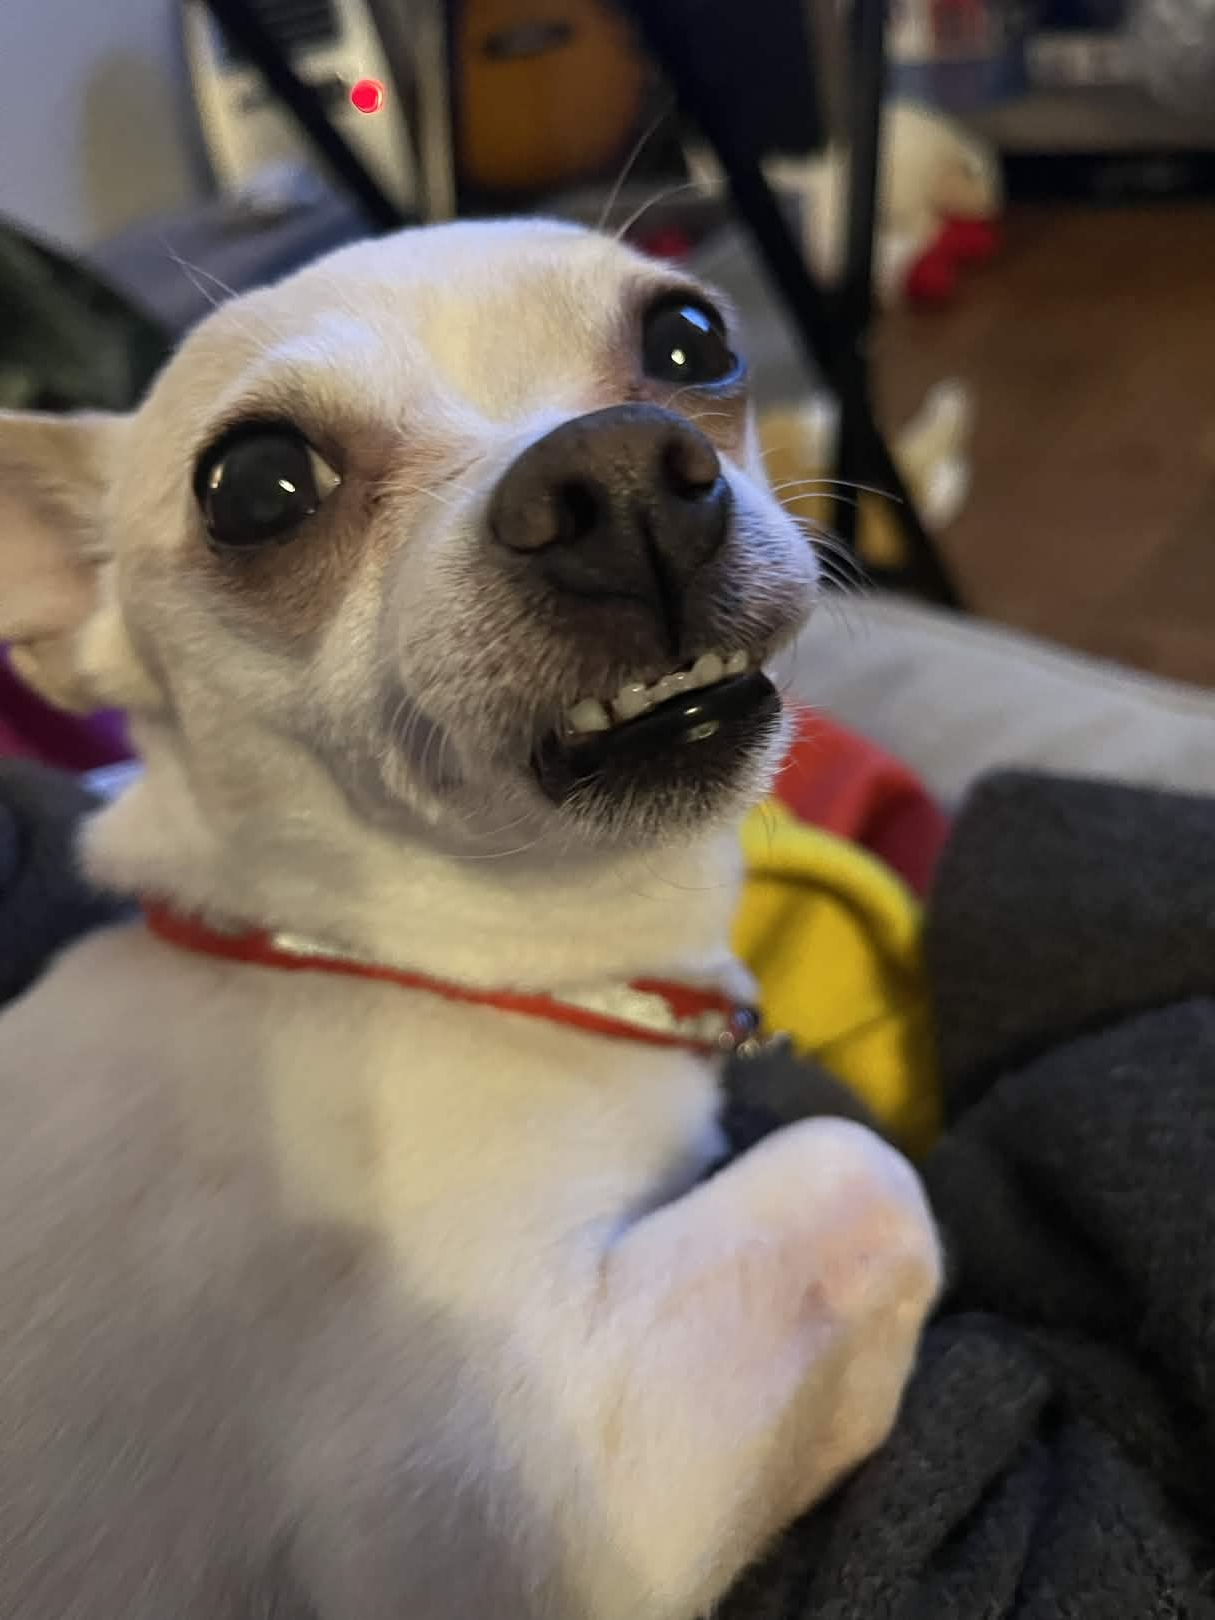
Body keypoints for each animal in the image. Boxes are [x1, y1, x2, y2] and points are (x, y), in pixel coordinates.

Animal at [0, 220, 941, 1620]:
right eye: (256, 486)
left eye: (692, 340)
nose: (616, 473)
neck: (396, 961)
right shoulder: (490, 1514)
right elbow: (869, 1173)